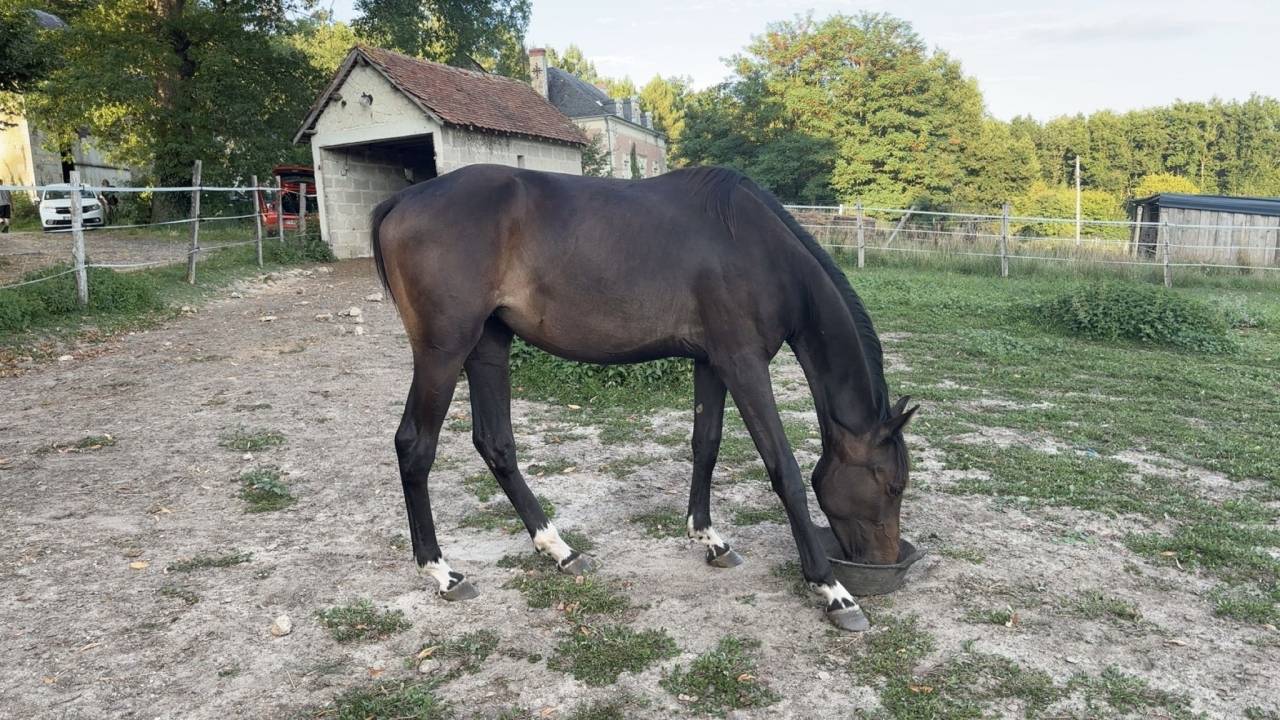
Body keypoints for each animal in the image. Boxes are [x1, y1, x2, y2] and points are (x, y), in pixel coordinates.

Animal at [370, 164, 917, 631]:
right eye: (892, 486)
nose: (885, 561)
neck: (757, 247)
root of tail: (403, 200)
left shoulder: (712, 362)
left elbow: (706, 444)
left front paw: (710, 538)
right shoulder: (744, 364)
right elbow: (783, 468)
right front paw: (833, 589)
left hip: (489, 345)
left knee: (496, 444)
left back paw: (560, 549)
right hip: (444, 352)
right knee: (415, 447)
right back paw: (442, 572)